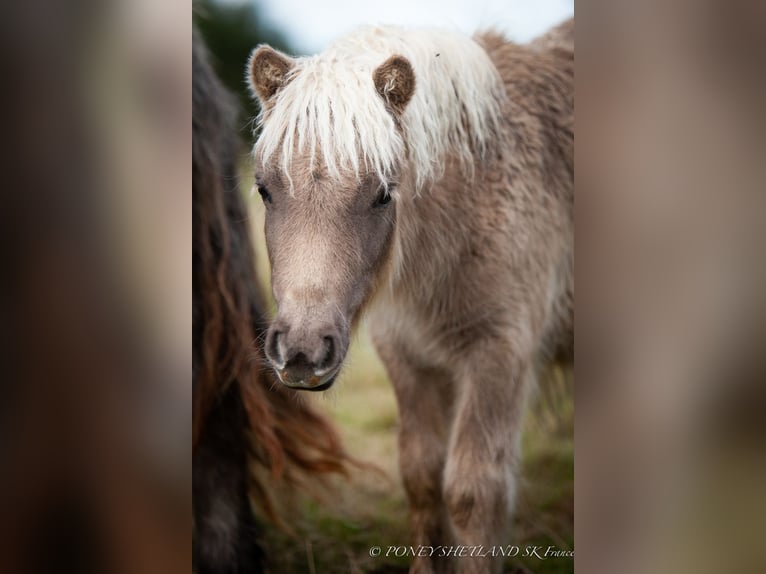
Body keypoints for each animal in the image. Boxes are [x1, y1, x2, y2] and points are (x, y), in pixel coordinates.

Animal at [249, 20, 572, 572]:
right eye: (264, 190)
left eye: (384, 192)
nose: (302, 353)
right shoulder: (406, 355)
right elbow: (420, 477)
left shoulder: (500, 355)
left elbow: (473, 493)